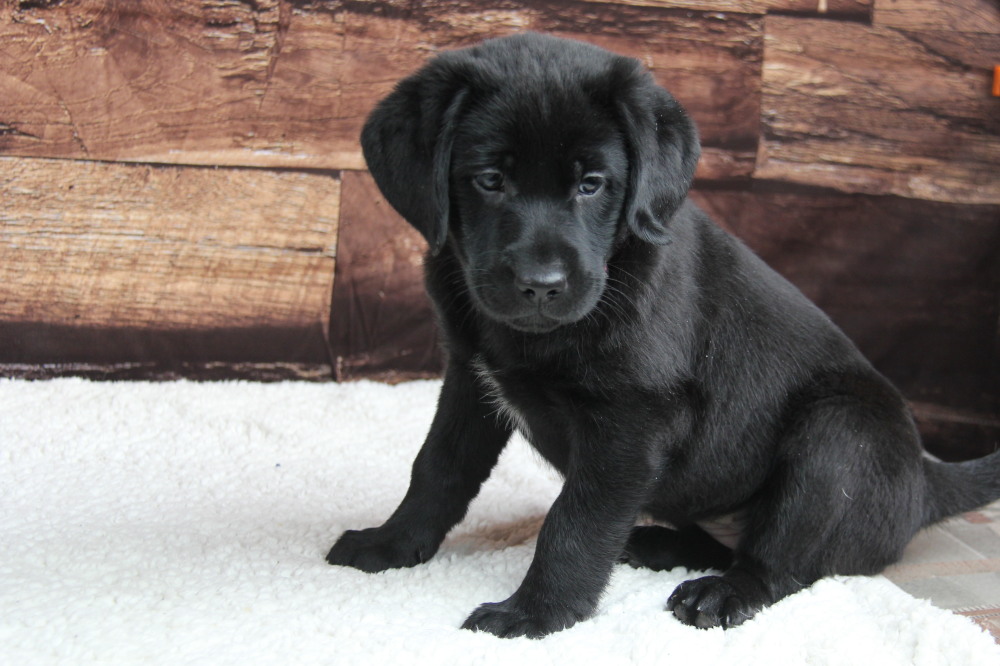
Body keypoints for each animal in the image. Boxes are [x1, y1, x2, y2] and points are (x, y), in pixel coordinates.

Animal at [328, 33, 1000, 636]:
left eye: (591, 183)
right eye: (490, 180)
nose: (541, 286)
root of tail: (927, 480)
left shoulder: (632, 422)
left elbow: (574, 522)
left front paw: (536, 614)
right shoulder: (471, 379)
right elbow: (437, 468)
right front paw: (392, 543)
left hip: (840, 434)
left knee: (780, 563)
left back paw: (721, 593)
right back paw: (654, 543)